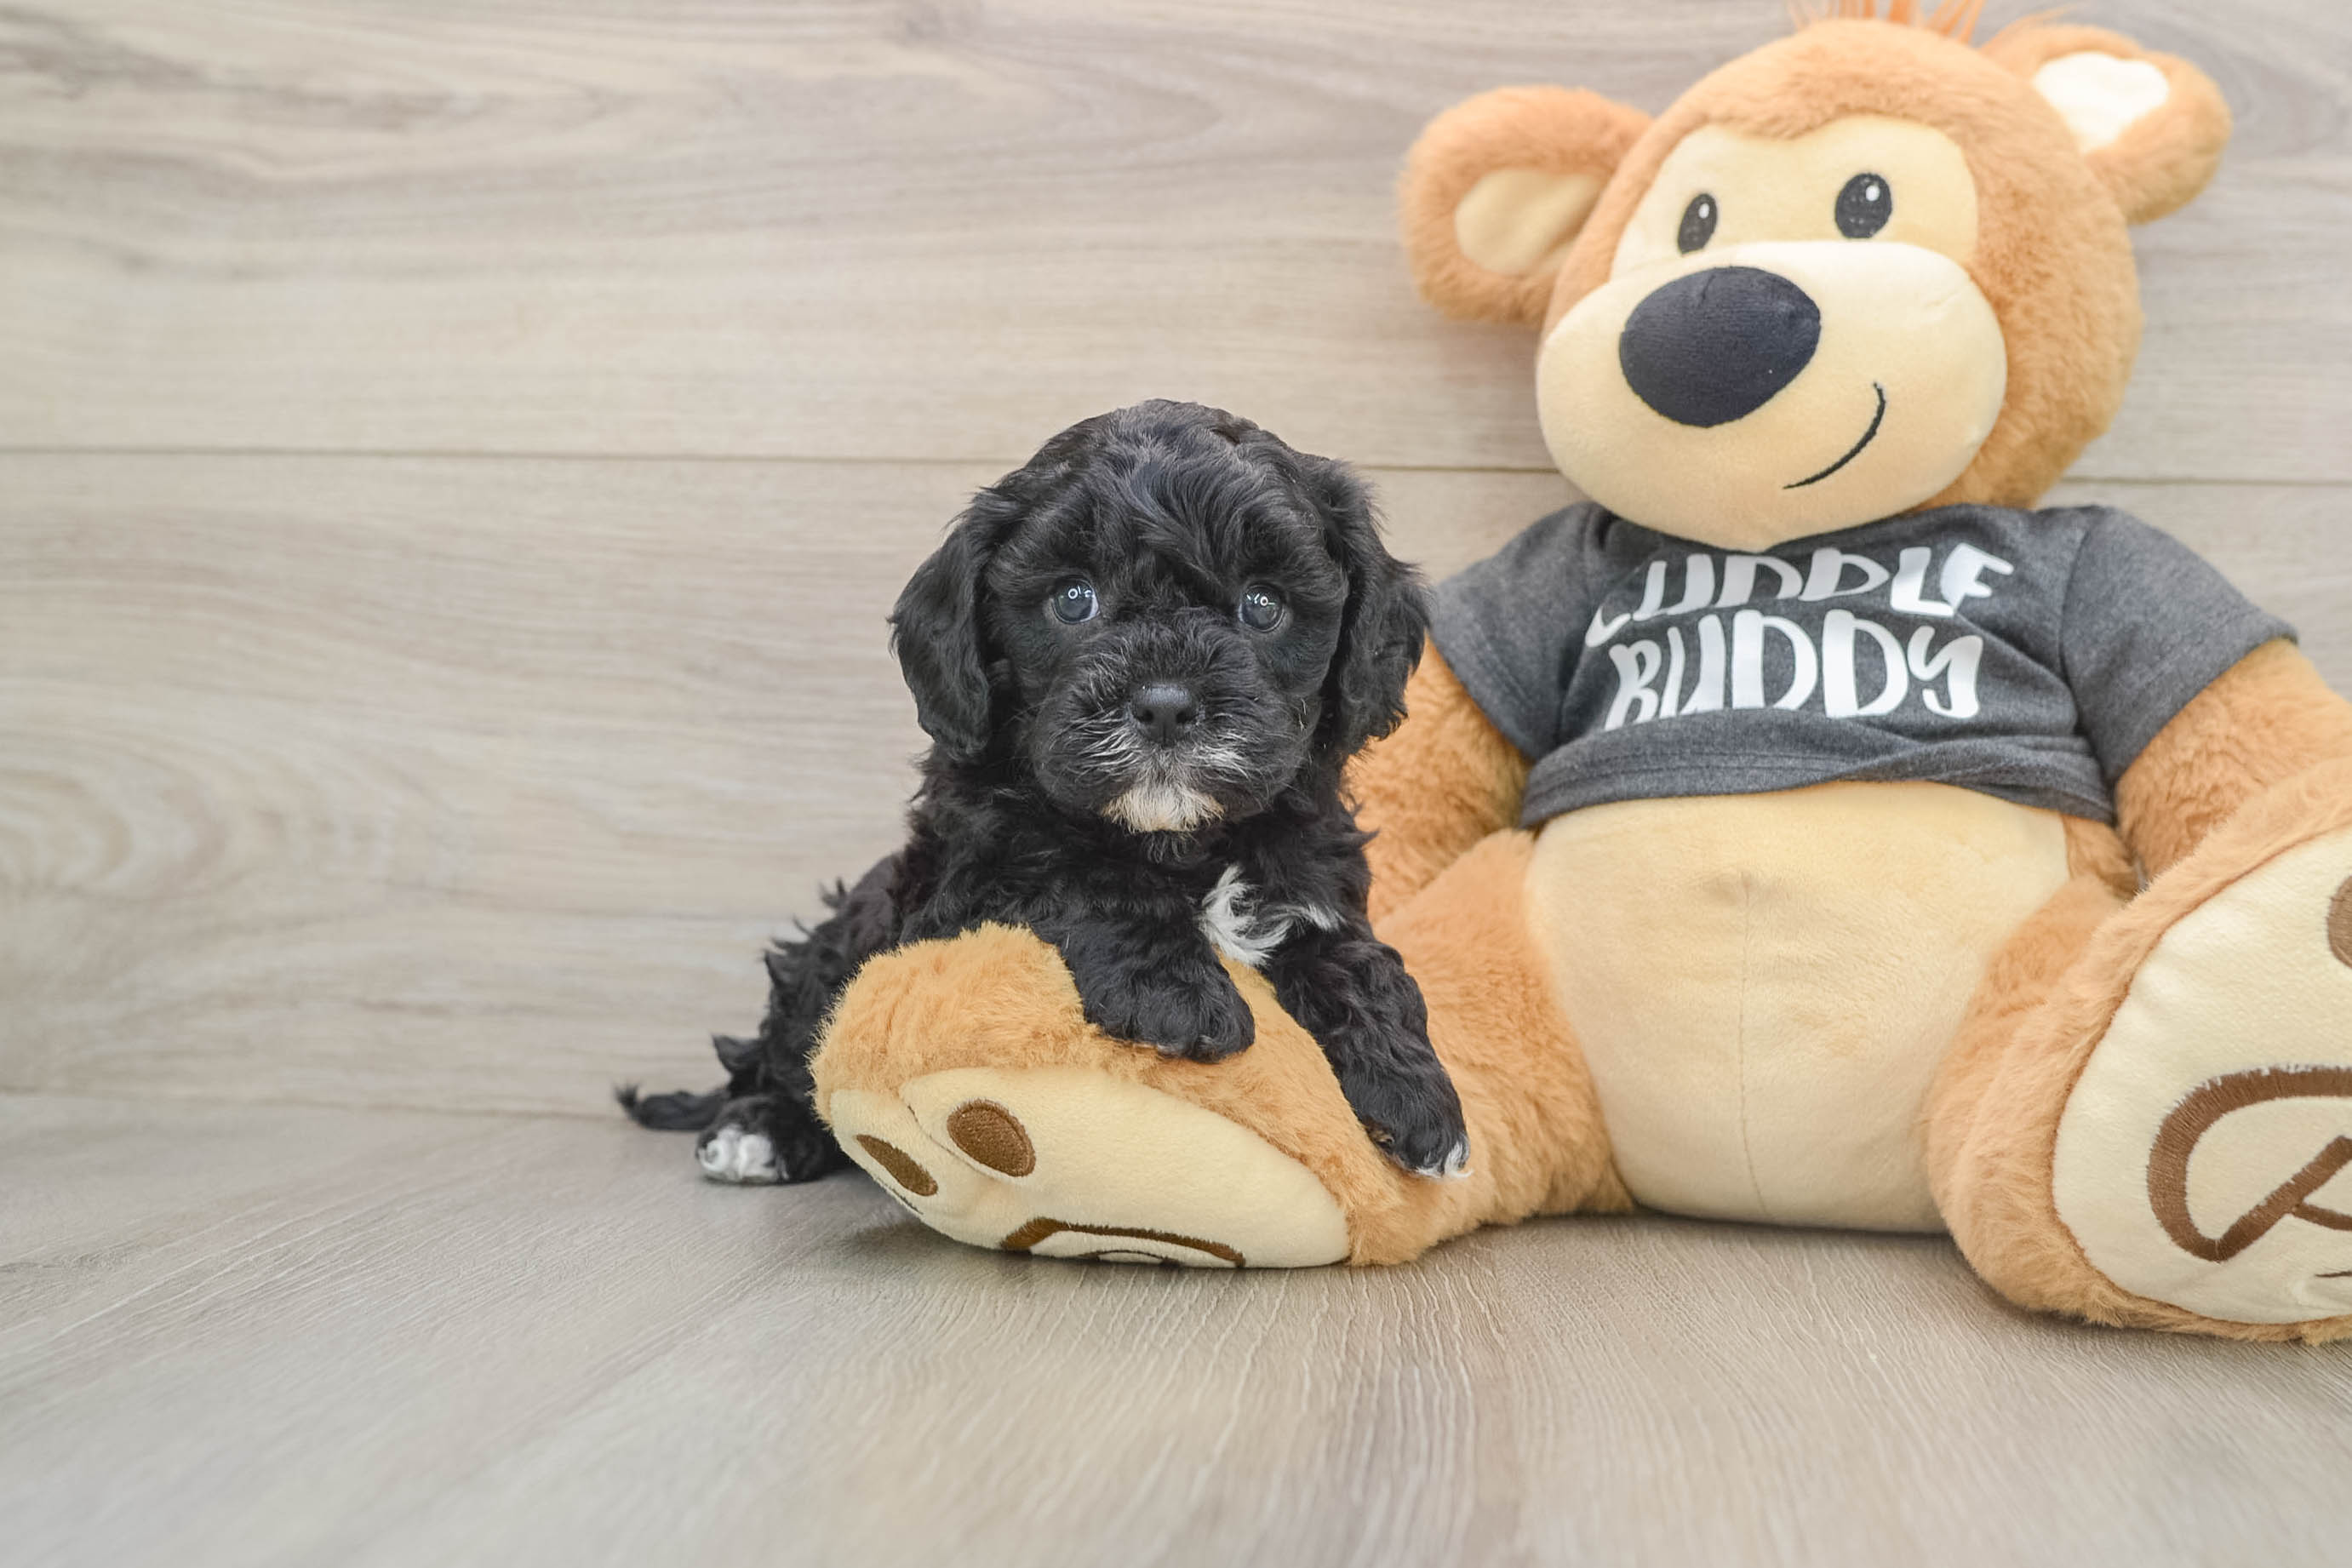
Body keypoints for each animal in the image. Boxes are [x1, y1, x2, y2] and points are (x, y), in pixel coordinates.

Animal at [621, 400, 1469, 1185]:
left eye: (1263, 604)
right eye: (1072, 599)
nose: (1165, 704)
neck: (1177, 837)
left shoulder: (1310, 883)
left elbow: (1359, 962)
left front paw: (1415, 1094)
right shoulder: (967, 880)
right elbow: (1075, 870)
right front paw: (1176, 995)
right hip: (837, 950)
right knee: (786, 1051)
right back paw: (758, 1130)